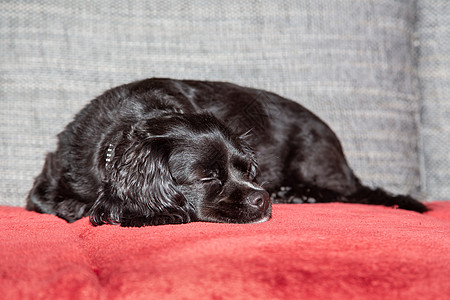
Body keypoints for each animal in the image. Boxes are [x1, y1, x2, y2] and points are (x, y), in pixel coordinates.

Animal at [25, 78, 428, 226]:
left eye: (247, 170)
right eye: (206, 178)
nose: (263, 199)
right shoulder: (51, 172)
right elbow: (49, 202)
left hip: (313, 161)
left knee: (341, 192)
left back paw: (300, 194)